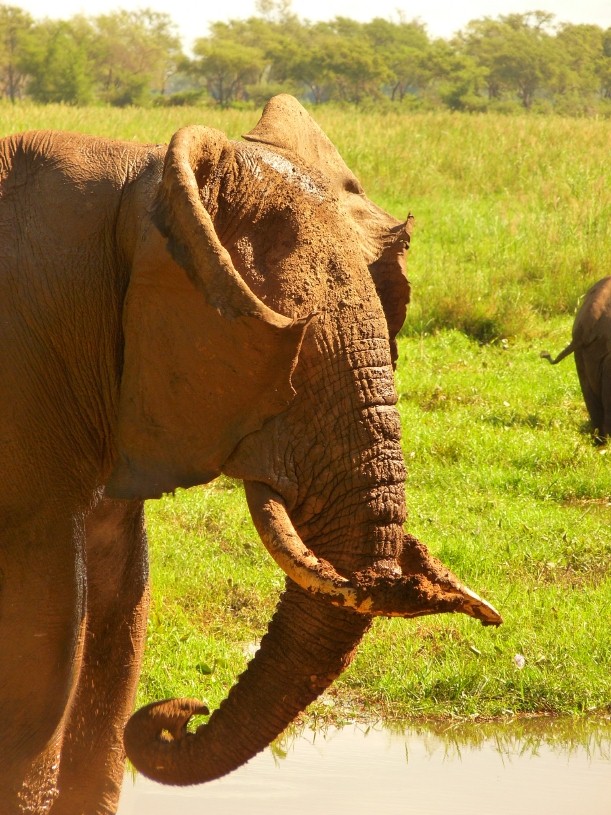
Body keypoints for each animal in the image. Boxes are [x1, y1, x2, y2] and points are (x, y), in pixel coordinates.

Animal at [0, 93, 501, 813]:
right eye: (289, 353)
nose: (182, 711)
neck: (140, 184)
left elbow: (122, 607)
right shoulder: (30, 368)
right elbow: (47, 645)